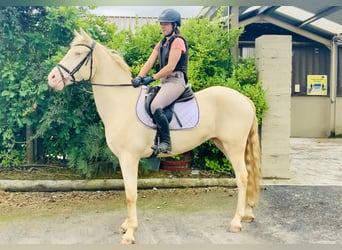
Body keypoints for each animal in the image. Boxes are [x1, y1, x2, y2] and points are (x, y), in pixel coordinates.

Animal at [47, 29, 262, 244]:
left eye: (78, 54)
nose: (52, 78)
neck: (120, 102)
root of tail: (245, 99)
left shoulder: (129, 158)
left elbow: (131, 194)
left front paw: (130, 233)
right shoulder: (124, 159)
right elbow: (128, 190)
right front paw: (126, 226)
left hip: (233, 147)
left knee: (242, 177)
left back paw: (236, 222)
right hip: (224, 145)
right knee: (246, 176)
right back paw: (247, 215)